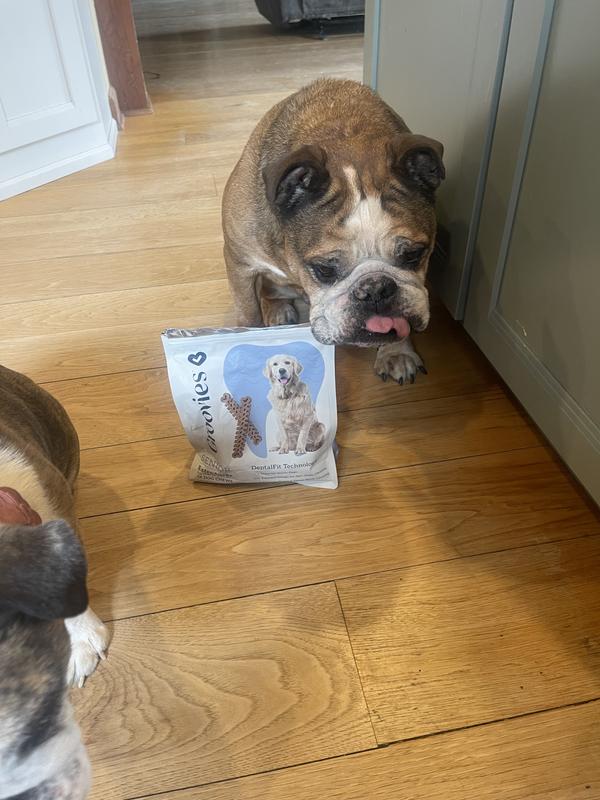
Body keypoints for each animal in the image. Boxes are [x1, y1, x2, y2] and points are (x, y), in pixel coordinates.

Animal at [222, 78, 445, 384]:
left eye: (414, 254)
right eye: (324, 269)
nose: (375, 288)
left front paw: (397, 352)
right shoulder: (241, 262)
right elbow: (248, 314)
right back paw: (278, 310)